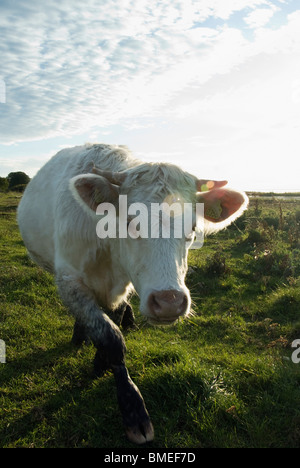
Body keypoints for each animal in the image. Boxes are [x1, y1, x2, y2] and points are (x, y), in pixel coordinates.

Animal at [17, 144, 248, 444]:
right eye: (130, 222)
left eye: (192, 229)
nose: (169, 302)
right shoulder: (68, 278)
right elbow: (111, 337)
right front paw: (133, 411)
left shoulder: (122, 286)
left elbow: (112, 324)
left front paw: (100, 363)